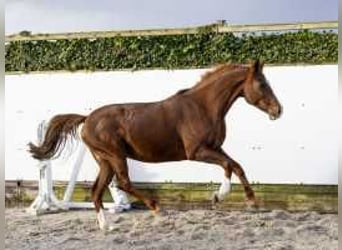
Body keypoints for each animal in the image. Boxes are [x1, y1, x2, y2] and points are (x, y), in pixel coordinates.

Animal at [28, 60, 280, 230]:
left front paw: (248, 201)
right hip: (116, 156)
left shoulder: (215, 148)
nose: (278, 110)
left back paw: (106, 226)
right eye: (261, 84)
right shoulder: (197, 151)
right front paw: (224, 196)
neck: (203, 107)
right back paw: (156, 207)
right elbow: (229, 165)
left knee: (97, 191)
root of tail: (87, 118)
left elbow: (236, 166)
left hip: (105, 160)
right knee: (123, 183)